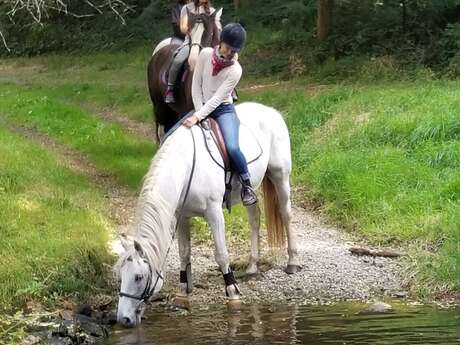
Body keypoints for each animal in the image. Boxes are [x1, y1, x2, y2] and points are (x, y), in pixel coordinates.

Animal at [115, 101, 302, 326]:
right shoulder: (182, 216)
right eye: (121, 276)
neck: (186, 166)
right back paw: (252, 266)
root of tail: (271, 111)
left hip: (280, 176)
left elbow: (221, 254)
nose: (123, 319)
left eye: (138, 277)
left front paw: (233, 291)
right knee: (254, 218)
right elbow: (184, 252)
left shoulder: (214, 213)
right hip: (251, 190)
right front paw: (183, 291)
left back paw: (292, 263)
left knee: (286, 215)